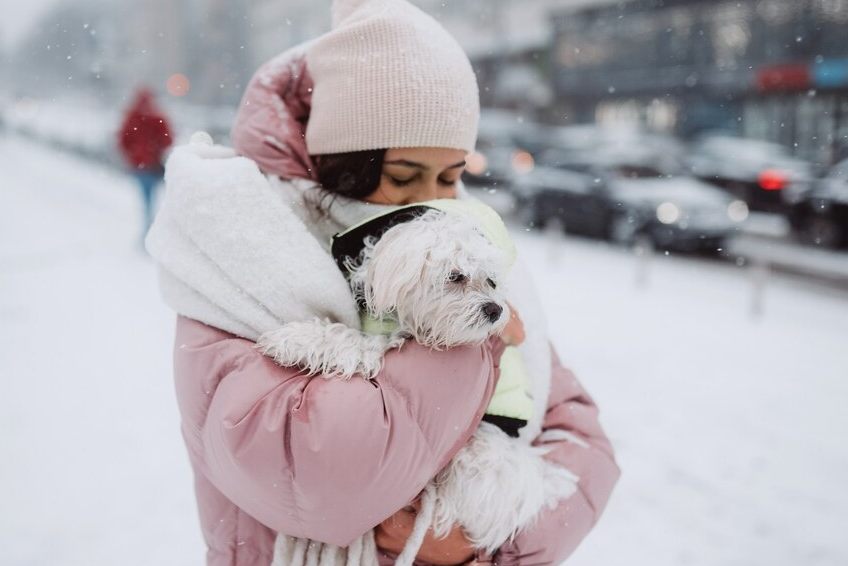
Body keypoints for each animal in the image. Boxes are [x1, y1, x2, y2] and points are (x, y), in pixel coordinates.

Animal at [256, 212, 576, 566]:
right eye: (456, 276)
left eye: (491, 282)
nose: (495, 310)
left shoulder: (385, 345)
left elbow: (351, 341)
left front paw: (293, 340)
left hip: (477, 453)